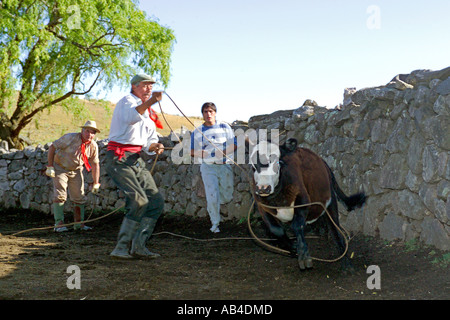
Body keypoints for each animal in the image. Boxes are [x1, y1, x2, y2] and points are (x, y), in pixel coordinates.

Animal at [250, 139, 366, 272]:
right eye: (253, 165)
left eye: (278, 162)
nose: (264, 188)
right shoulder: (262, 207)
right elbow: (276, 230)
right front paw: (293, 247)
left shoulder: (303, 199)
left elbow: (297, 225)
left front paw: (304, 255)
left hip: (330, 204)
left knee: (336, 232)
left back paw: (347, 264)